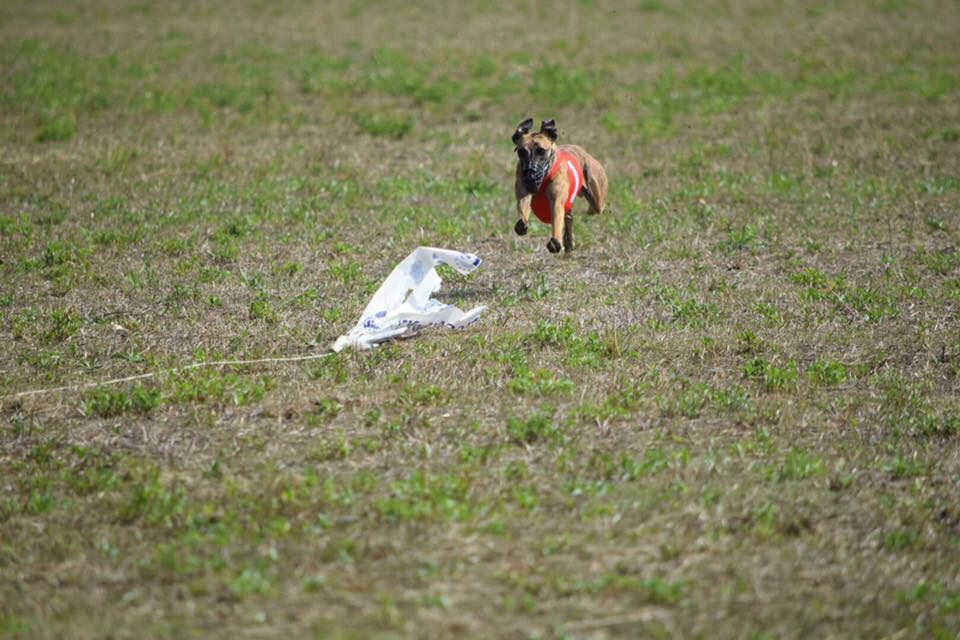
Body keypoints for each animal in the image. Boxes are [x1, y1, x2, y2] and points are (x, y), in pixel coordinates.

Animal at [510, 119, 608, 252]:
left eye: (541, 150)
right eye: (521, 152)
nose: (530, 173)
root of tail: (583, 152)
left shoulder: (557, 202)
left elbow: (557, 217)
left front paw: (555, 242)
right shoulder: (524, 193)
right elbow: (522, 207)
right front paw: (522, 224)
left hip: (597, 198)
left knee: (595, 207)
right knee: (569, 218)